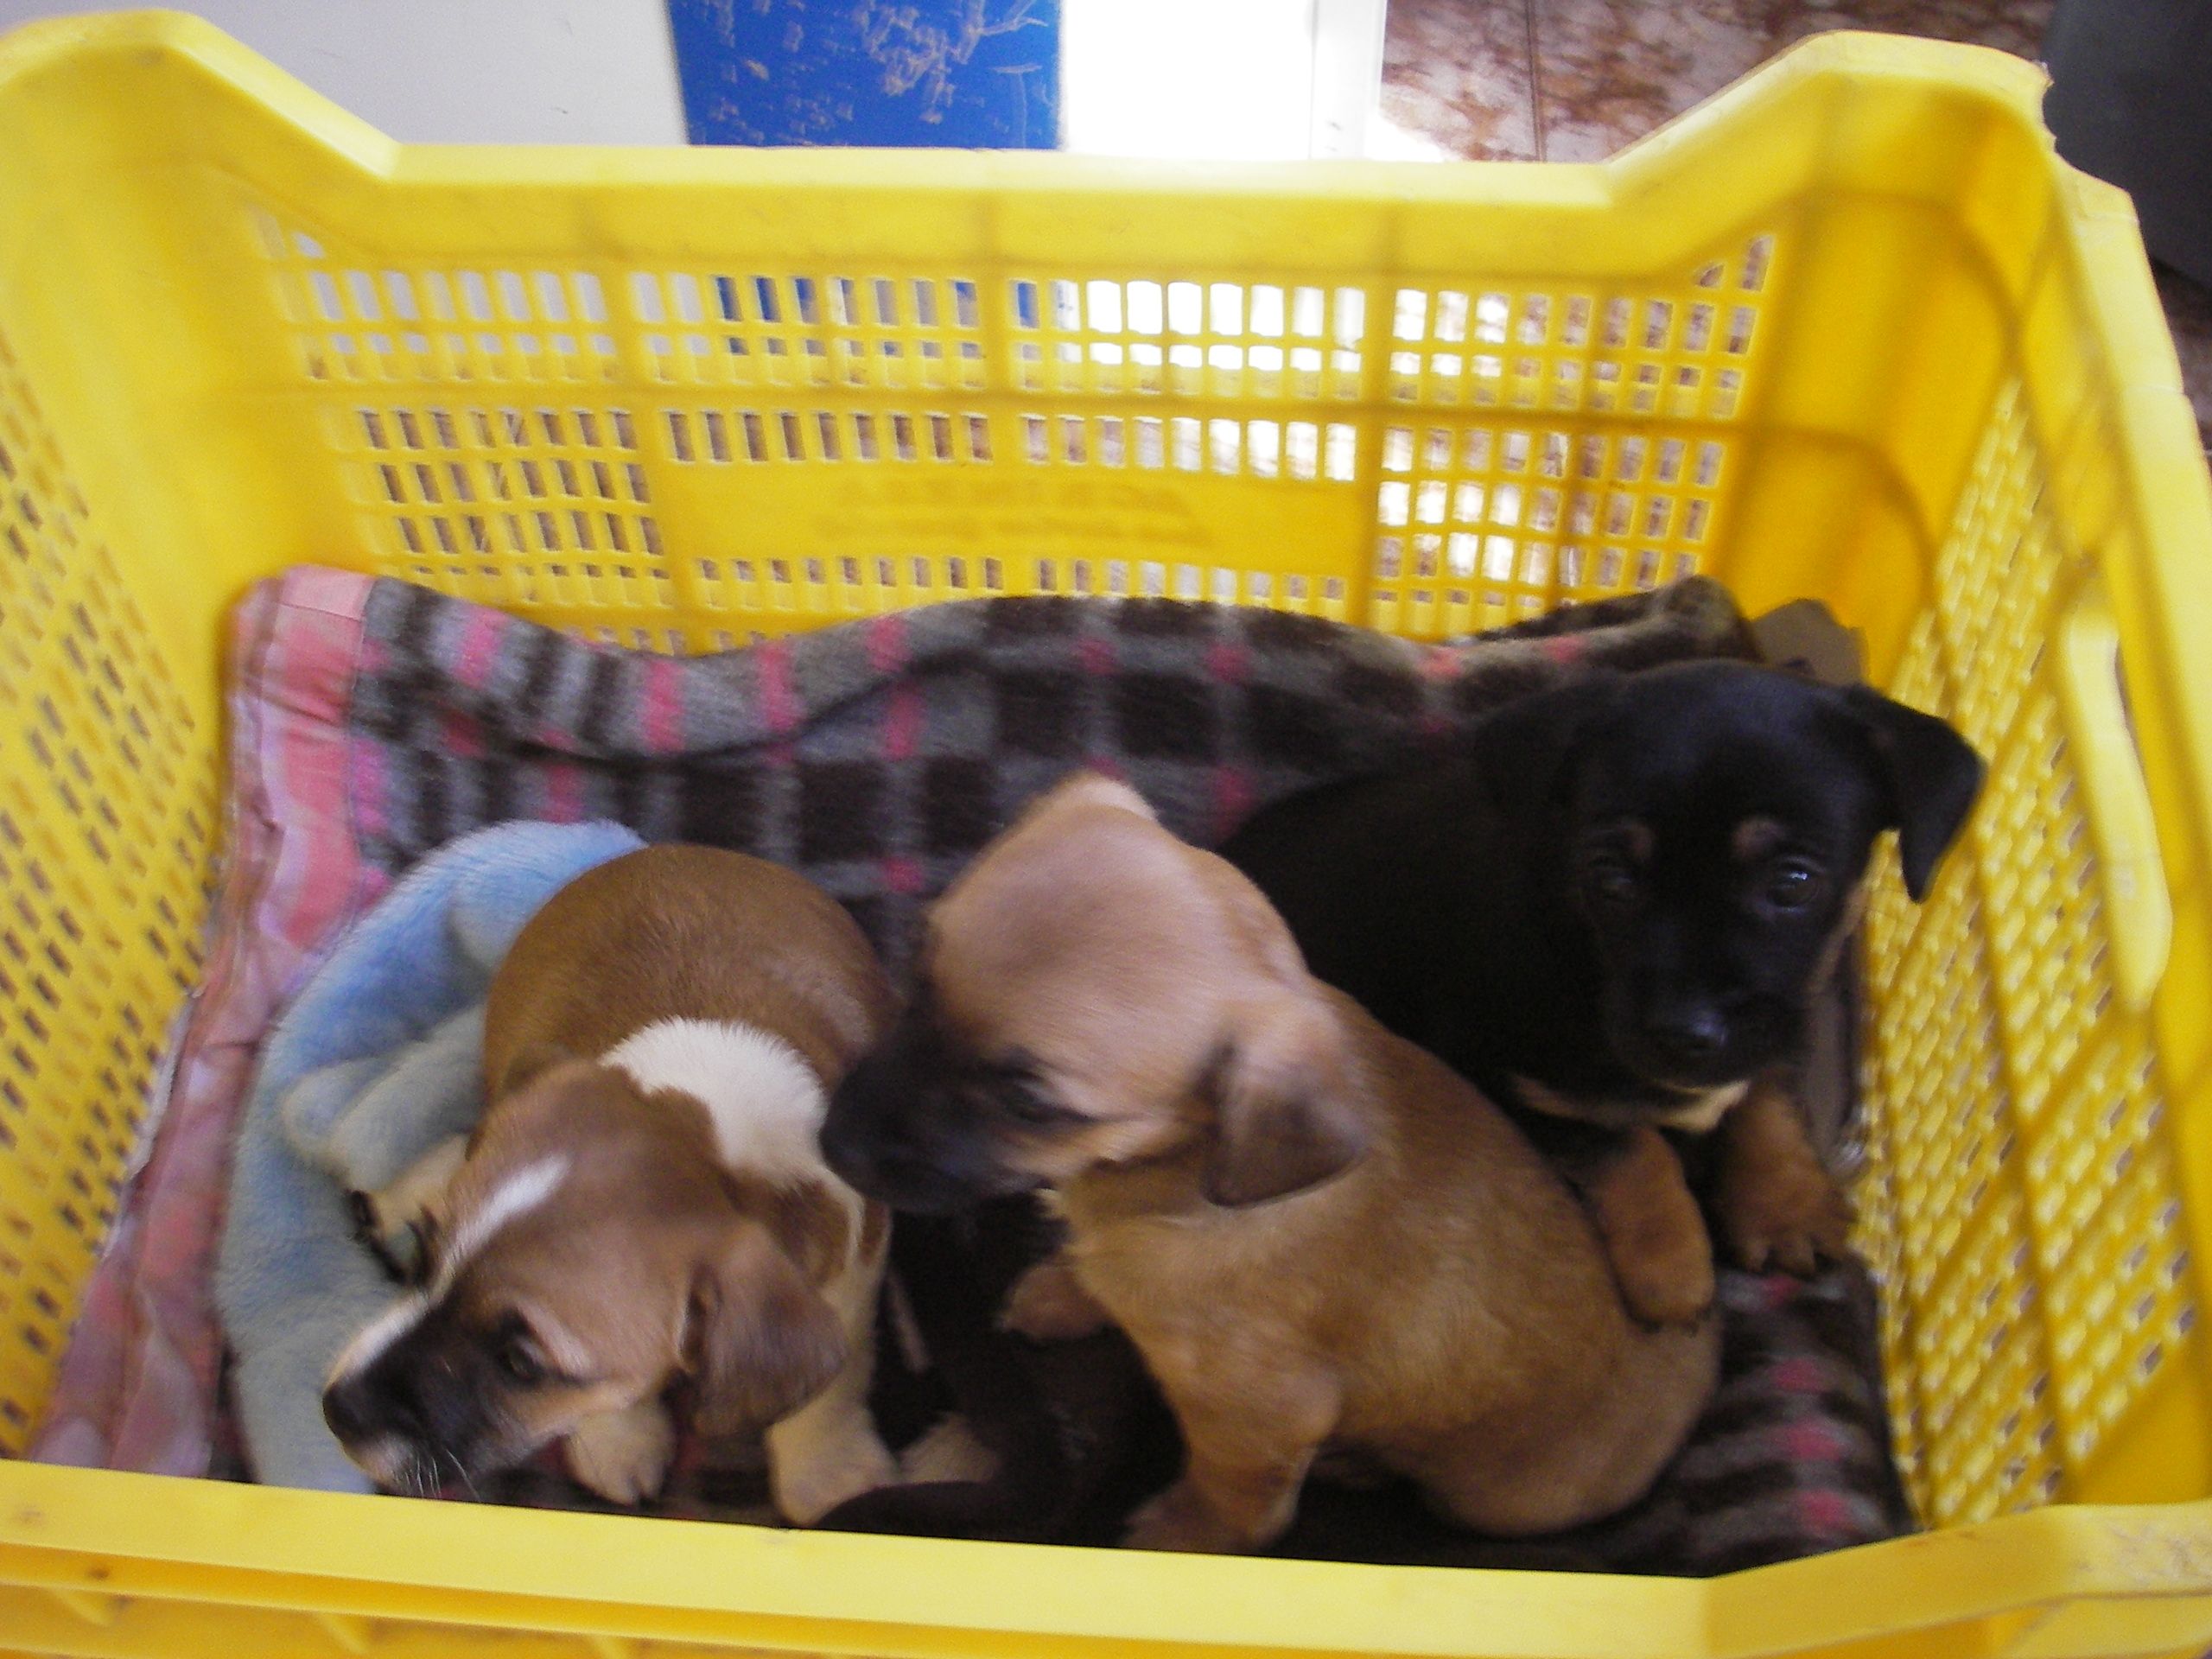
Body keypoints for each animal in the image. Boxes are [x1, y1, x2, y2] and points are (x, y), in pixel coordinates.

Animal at [322, 844, 901, 1524]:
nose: (335, 1412)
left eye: (520, 1364)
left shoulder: (856, 1272)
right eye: (425, 1257)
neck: (705, 1137)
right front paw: (620, 1440)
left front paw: (828, 1467)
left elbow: (833, 1378)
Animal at [821, 774, 1719, 1554]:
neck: (1169, 1174)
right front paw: (1062, 1293)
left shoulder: (1256, 1416)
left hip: (1491, 1499)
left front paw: (1182, 1538)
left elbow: (1238, 1501)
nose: (833, 1143)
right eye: (919, 973)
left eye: (1029, 1104)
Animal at [1219, 659, 1985, 1328]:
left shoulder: (1779, 1021)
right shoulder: (1503, 1079)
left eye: (1794, 882)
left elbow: (1767, 1091)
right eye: (1610, 877)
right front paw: (1673, 1264)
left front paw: (1786, 1204)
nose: (1685, 1033)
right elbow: (1627, 1140)